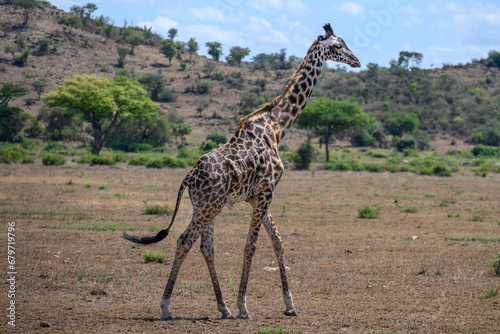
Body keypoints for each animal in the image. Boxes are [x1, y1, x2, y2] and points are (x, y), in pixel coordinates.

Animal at [124, 23, 360, 320]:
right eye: (338, 46)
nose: (357, 61)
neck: (277, 126)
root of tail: (189, 177)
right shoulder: (266, 191)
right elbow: (251, 245)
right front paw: (244, 306)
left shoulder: (259, 196)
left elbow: (278, 243)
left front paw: (289, 305)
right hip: (210, 205)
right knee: (184, 240)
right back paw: (167, 307)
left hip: (205, 205)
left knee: (206, 247)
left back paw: (222, 308)